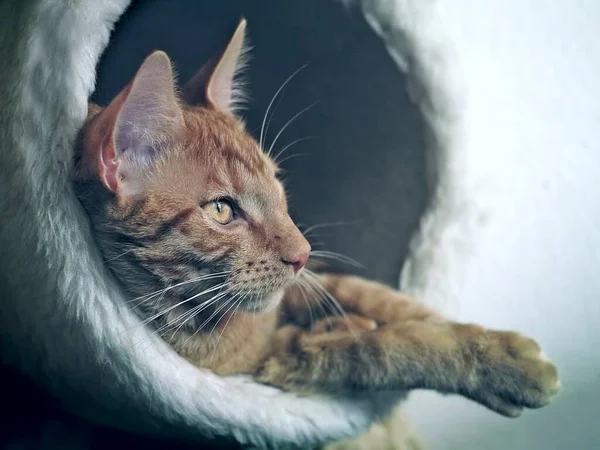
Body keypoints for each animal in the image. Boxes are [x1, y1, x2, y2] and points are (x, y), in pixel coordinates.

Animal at [72, 17, 560, 436]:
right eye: (222, 210)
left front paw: (472, 334)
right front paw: (496, 364)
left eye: (277, 185)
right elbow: (374, 349)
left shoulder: (314, 284)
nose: (302, 254)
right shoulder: (270, 361)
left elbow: (378, 297)